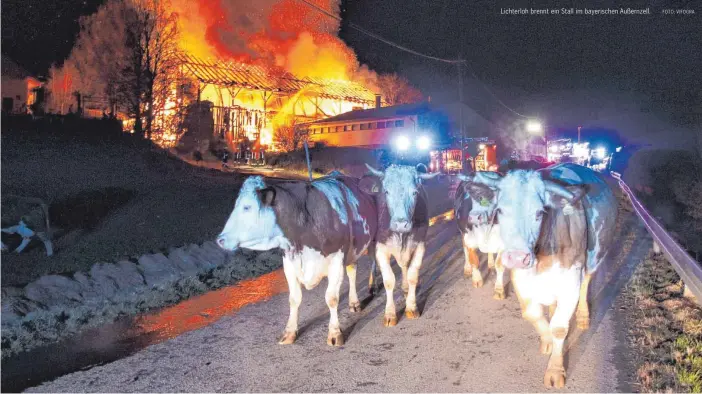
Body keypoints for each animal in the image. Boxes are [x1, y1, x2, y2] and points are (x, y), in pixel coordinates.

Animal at [217, 174, 380, 346]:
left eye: (247, 207)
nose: (220, 239)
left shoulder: (336, 260)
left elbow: (331, 298)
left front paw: (335, 334)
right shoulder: (289, 263)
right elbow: (294, 299)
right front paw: (289, 332)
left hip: (374, 238)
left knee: (373, 261)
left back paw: (373, 286)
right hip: (353, 248)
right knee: (352, 271)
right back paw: (354, 302)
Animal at [364, 163, 440, 326]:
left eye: (415, 192)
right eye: (387, 191)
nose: (401, 224)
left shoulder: (419, 245)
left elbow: (412, 275)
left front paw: (411, 307)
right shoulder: (381, 248)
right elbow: (388, 280)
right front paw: (390, 314)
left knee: (404, 266)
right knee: (372, 261)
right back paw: (372, 286)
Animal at [482, 163, 620, 388]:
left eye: (539, 212)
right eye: (500, 210)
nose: (517, 257)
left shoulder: (570, 282)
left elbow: (559, 328)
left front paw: (555, 370)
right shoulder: (522, 280)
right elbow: (533, 315)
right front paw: (547, 341)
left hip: (594, 257)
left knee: (587, 282)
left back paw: (583, 316)